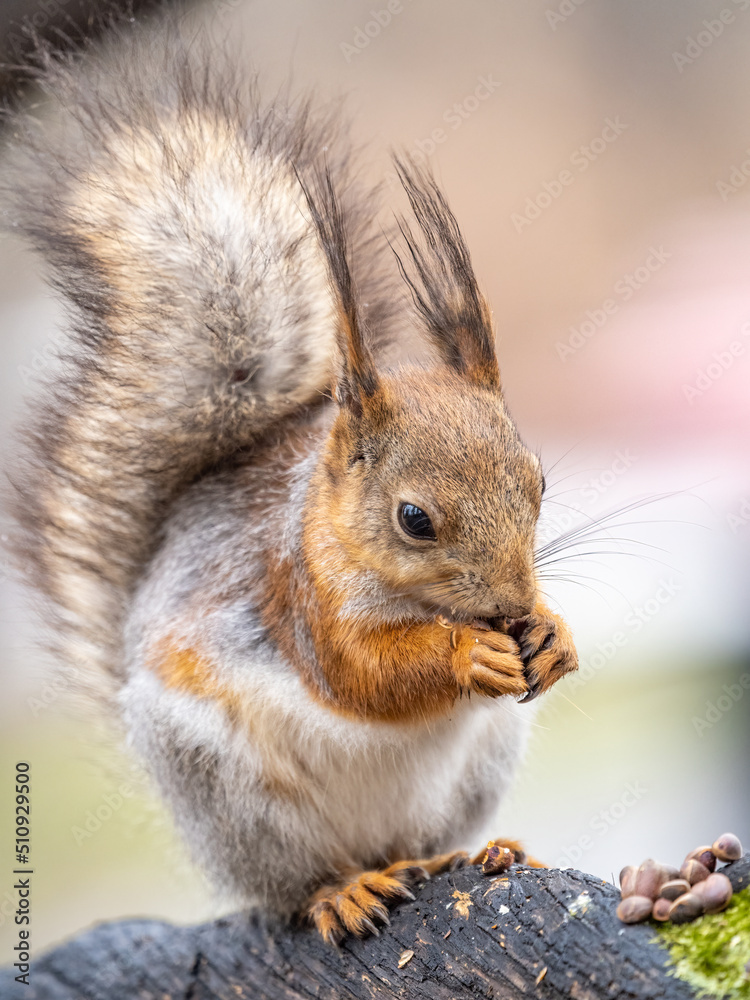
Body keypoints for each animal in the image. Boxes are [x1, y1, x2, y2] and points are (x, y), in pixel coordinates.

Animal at [3, 15, 578, 944]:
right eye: (414, 518)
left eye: (541, 484)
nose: (512, 608)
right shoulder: (299, 591)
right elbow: (362, 676)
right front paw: (465, 651)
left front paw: (554, 635)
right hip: (231, 791)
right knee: (293, 885)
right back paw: (339, 891)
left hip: (477, 768)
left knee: (419, 844)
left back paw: (468, 855)